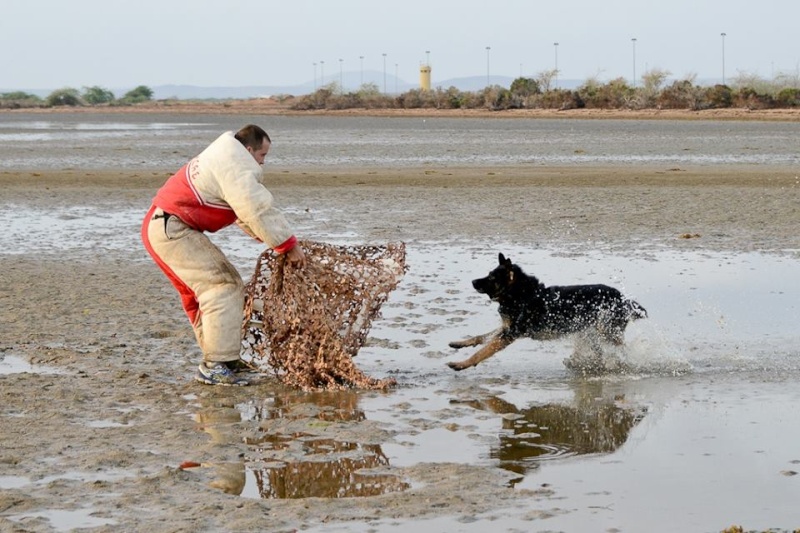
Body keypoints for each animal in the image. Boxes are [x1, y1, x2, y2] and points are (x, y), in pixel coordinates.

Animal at [446, 254, 648, 370]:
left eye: (491, 277)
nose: (473, 282)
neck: (520, 294)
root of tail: (624, 299)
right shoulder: (506, 328)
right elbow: (481, 337)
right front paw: (460, 343)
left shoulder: (510, 334)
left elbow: (483, 351)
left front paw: (462, 364)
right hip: (590, 332)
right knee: (600, 353)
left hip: (607, 332)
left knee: (621, 352)